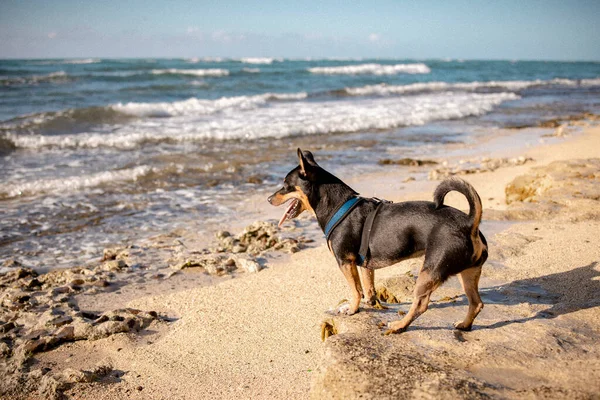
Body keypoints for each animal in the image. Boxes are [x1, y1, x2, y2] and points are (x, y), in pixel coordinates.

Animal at [268, 148, 488, 332]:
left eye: (285, 186)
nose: (269, 199)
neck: (337, 205)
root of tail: (470, 223)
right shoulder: (365, 265)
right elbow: (368, 288)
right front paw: (370, 304)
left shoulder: (345, 262)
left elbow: (355, 290)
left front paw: (352, 309)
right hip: (468, 272)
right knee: (476, 303)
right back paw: (464, 325)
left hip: (429, 272)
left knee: (421, 304)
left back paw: (399, 326)